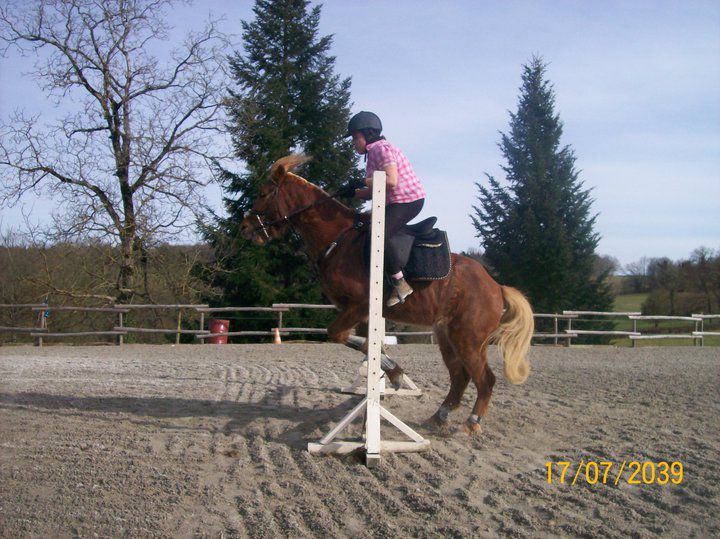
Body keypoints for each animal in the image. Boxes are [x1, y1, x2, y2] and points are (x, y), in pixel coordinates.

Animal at [240, 154, 534, 434]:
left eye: (264, 193)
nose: (246, 228)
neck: (338, 239)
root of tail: (496, 286)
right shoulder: (361, 313)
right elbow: (366, 344)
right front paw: (393, 373)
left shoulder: (359, 305)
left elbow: (338, 335)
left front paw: (394, 374)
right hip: (447, 337)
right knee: (459, 377)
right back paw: (438, 416)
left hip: (469, 339)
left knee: (485, 379)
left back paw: (473, 422)